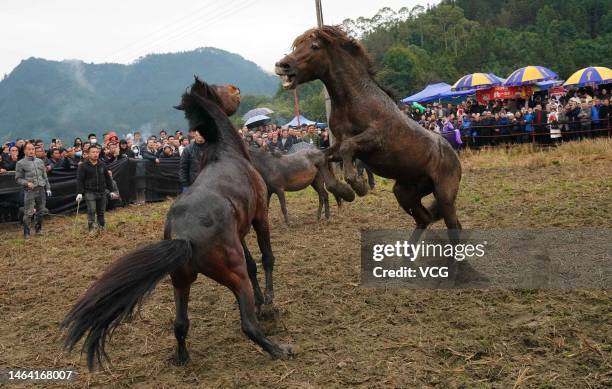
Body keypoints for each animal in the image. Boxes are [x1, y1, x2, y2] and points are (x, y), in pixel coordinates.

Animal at [61, 77, 292, 368]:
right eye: (217, 89)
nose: (235, 88)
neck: (226, 153)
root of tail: (184, 237)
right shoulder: (260, 215)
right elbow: (266, 257)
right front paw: (269, 302)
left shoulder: (239, 233)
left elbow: (253, 265)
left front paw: (262, 301)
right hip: (232, 275)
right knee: (247, 324)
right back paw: (279, 349)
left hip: (181, 281)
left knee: (180, 323)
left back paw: (182, 357)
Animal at [274, 25, 462, 235]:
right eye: (297, 45)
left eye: (314, 46)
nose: (282, 65)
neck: (355, 99)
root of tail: (454, 154)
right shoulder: (338, 143)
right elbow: (323, 157)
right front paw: (345, 192)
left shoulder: (376, 139)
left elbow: (348, 148)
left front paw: (359, 186)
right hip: (405, 192)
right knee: (424, 219)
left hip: (444, 195)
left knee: (452, 224)